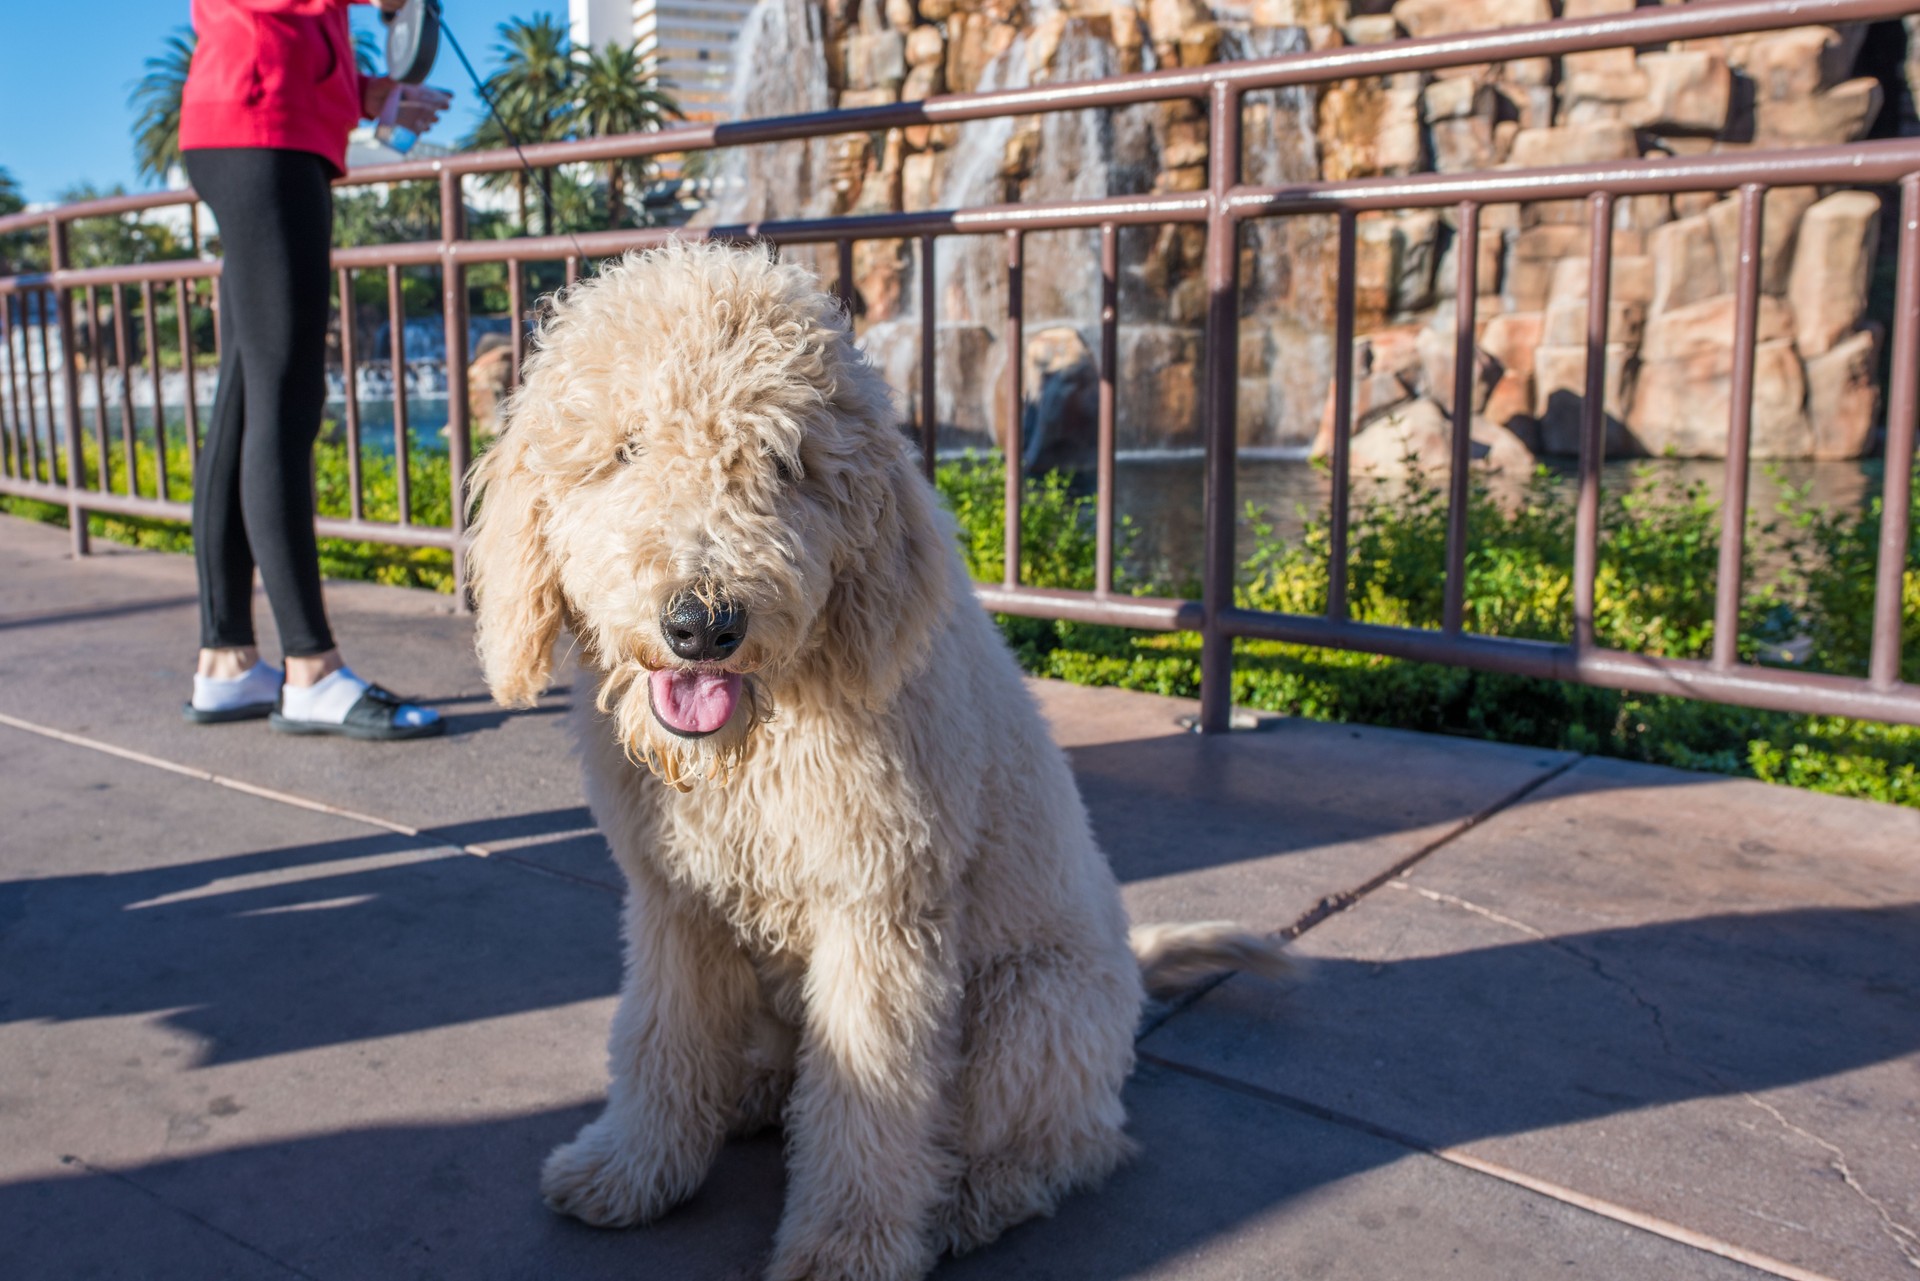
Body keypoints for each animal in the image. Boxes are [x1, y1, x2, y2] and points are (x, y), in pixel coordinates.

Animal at [464, 242, 1282, 1281]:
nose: (703, 623)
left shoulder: (881, 911)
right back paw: (750, 1091)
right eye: (626, 449)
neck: (754, 746)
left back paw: (969, 1197)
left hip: (1033, 1009)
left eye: (782, 461)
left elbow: (873, 1093)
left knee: (1070, 1142)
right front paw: (631, 1167)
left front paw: (846, 1246)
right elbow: (660, 1038)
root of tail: (1130, 976)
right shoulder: (676, 901)